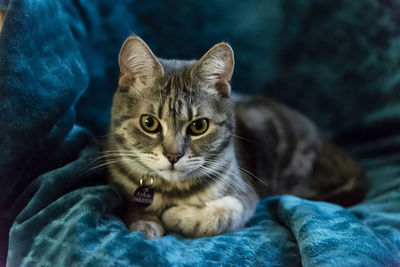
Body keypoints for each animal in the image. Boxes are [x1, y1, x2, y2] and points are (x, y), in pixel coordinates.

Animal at [104, 36, 366, 240]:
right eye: (149, 123)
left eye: (199, 126)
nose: (173, 155)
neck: (172, 191)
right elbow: (134, 209)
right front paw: (145, 223)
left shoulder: (245, 194)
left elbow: (225, 213)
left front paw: (176, 215)